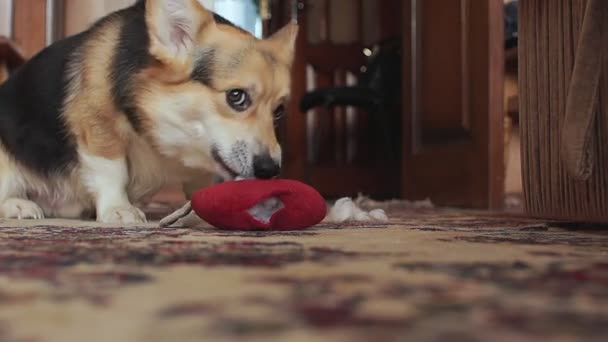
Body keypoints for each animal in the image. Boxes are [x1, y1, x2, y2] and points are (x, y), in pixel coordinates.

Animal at [0, 0, 296, 223]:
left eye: (279, 110)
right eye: (236, 97)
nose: (270, 169)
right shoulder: (98, 126)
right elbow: (112, 171)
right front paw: (118, 209)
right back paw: (19, 205)